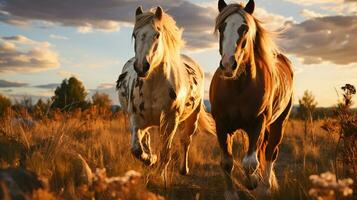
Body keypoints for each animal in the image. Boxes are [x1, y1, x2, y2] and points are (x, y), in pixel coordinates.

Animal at [116, 5, 214, 175]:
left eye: (157, 34)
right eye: (135, 35)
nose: (141, 67)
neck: (153, 87)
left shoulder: (170, 122)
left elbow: (165, 153)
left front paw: (160, 174)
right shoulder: (135, 118)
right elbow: (136, 149)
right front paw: (150, 159)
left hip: (192, 118)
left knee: (185, 140)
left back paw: (183, 169)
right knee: (146, 138)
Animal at [209, 0, 292, 198]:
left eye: (244, 28)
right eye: (221, 27)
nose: (228, 65)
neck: (238, 88)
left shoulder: (257, 124)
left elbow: (250, 162)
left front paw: (253, 181)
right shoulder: (221, 126)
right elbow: (227, 162)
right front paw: (231, 194)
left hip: (279, 123)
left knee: (270, 152)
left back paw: (266, 185)